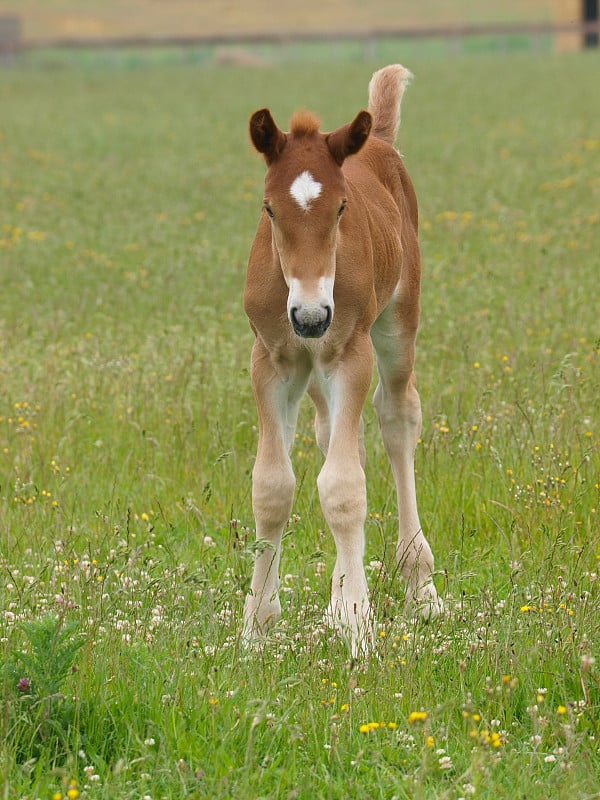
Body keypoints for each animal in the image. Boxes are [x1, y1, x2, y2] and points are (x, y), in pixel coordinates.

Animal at [241, 64, 442, 656]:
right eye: (269, 208)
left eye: (341, 207)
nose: (311, 317)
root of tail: (379, 139)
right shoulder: (272, 361)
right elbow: (272, 486)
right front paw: (257, 625)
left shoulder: (349, 353)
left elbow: (345, 488)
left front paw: (356, 623)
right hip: (312, 372)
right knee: (334, 436)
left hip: (397, 322)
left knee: (397, 417)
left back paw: (420, 585)